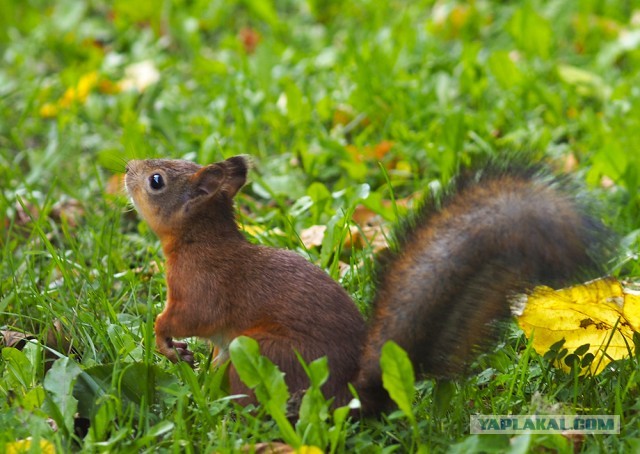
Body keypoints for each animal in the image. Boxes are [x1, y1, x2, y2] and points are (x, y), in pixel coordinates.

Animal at [122, 155, 604, 414]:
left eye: (156, 181)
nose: (126, 167)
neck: (197, 240)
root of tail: (353, 396)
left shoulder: (202, 288)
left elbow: (187, 318)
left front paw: (163, 338)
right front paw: (178, 352)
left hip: (261, 355)